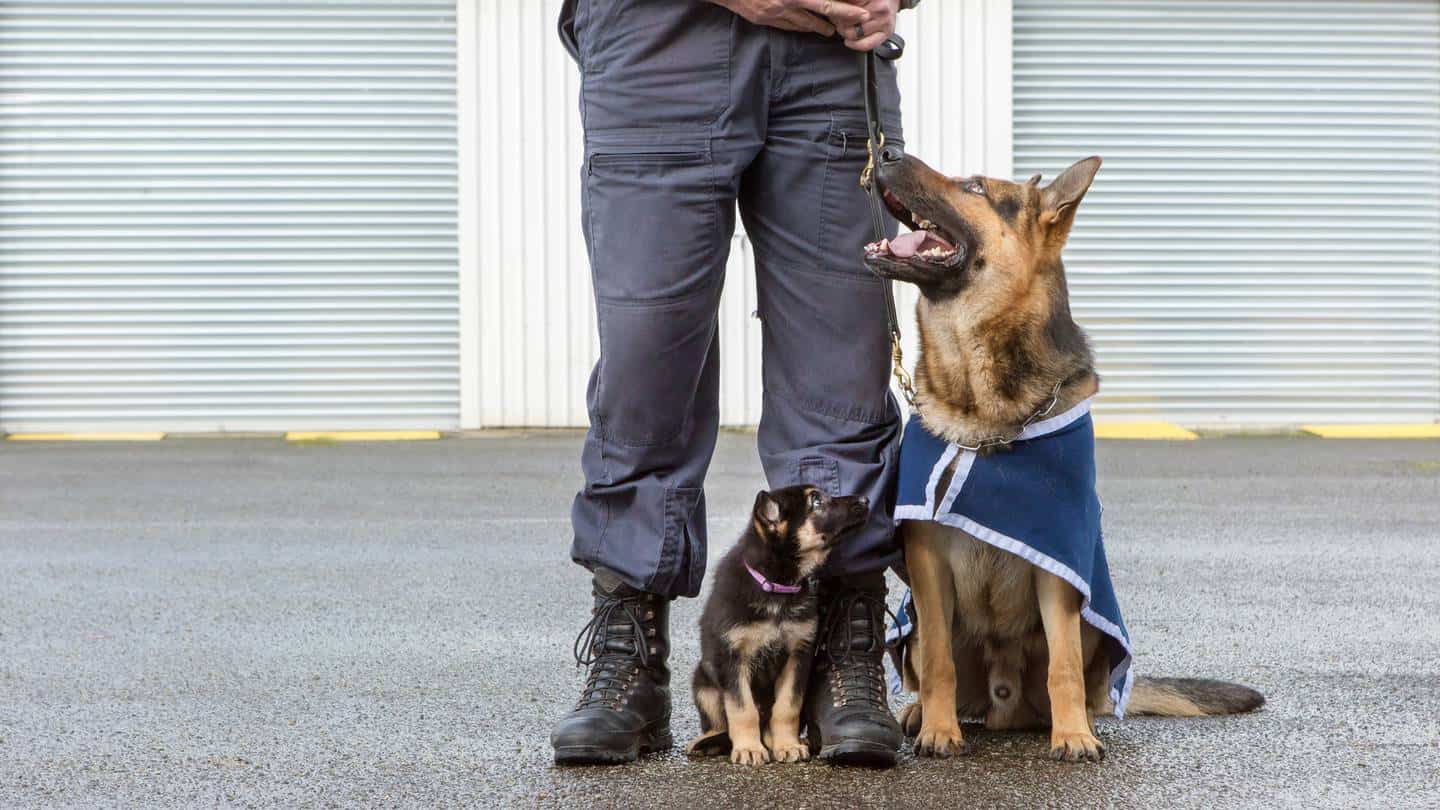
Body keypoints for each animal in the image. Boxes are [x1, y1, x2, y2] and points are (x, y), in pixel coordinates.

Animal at [682, 484, 864, 760]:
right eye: (816, 501)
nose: (865, 500)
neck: (777, 589)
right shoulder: (733, 658)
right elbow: (743, 709)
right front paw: (748, 748)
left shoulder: (798, 655)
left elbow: (787, 707)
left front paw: (787, 745)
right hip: (703, 682)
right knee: (718, 724)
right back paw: (707, 742)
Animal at [864, 154, 1261, 760]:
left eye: (975, 186)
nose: (884, 153)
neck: (987, 420)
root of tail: (1002, 705)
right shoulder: (927, 563)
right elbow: (937, 660)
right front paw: (938, 730)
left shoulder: (1057, 567)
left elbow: (1065, 666)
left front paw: (1072, 734)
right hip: (911, 622)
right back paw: (918, 716)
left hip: (1092, 621)